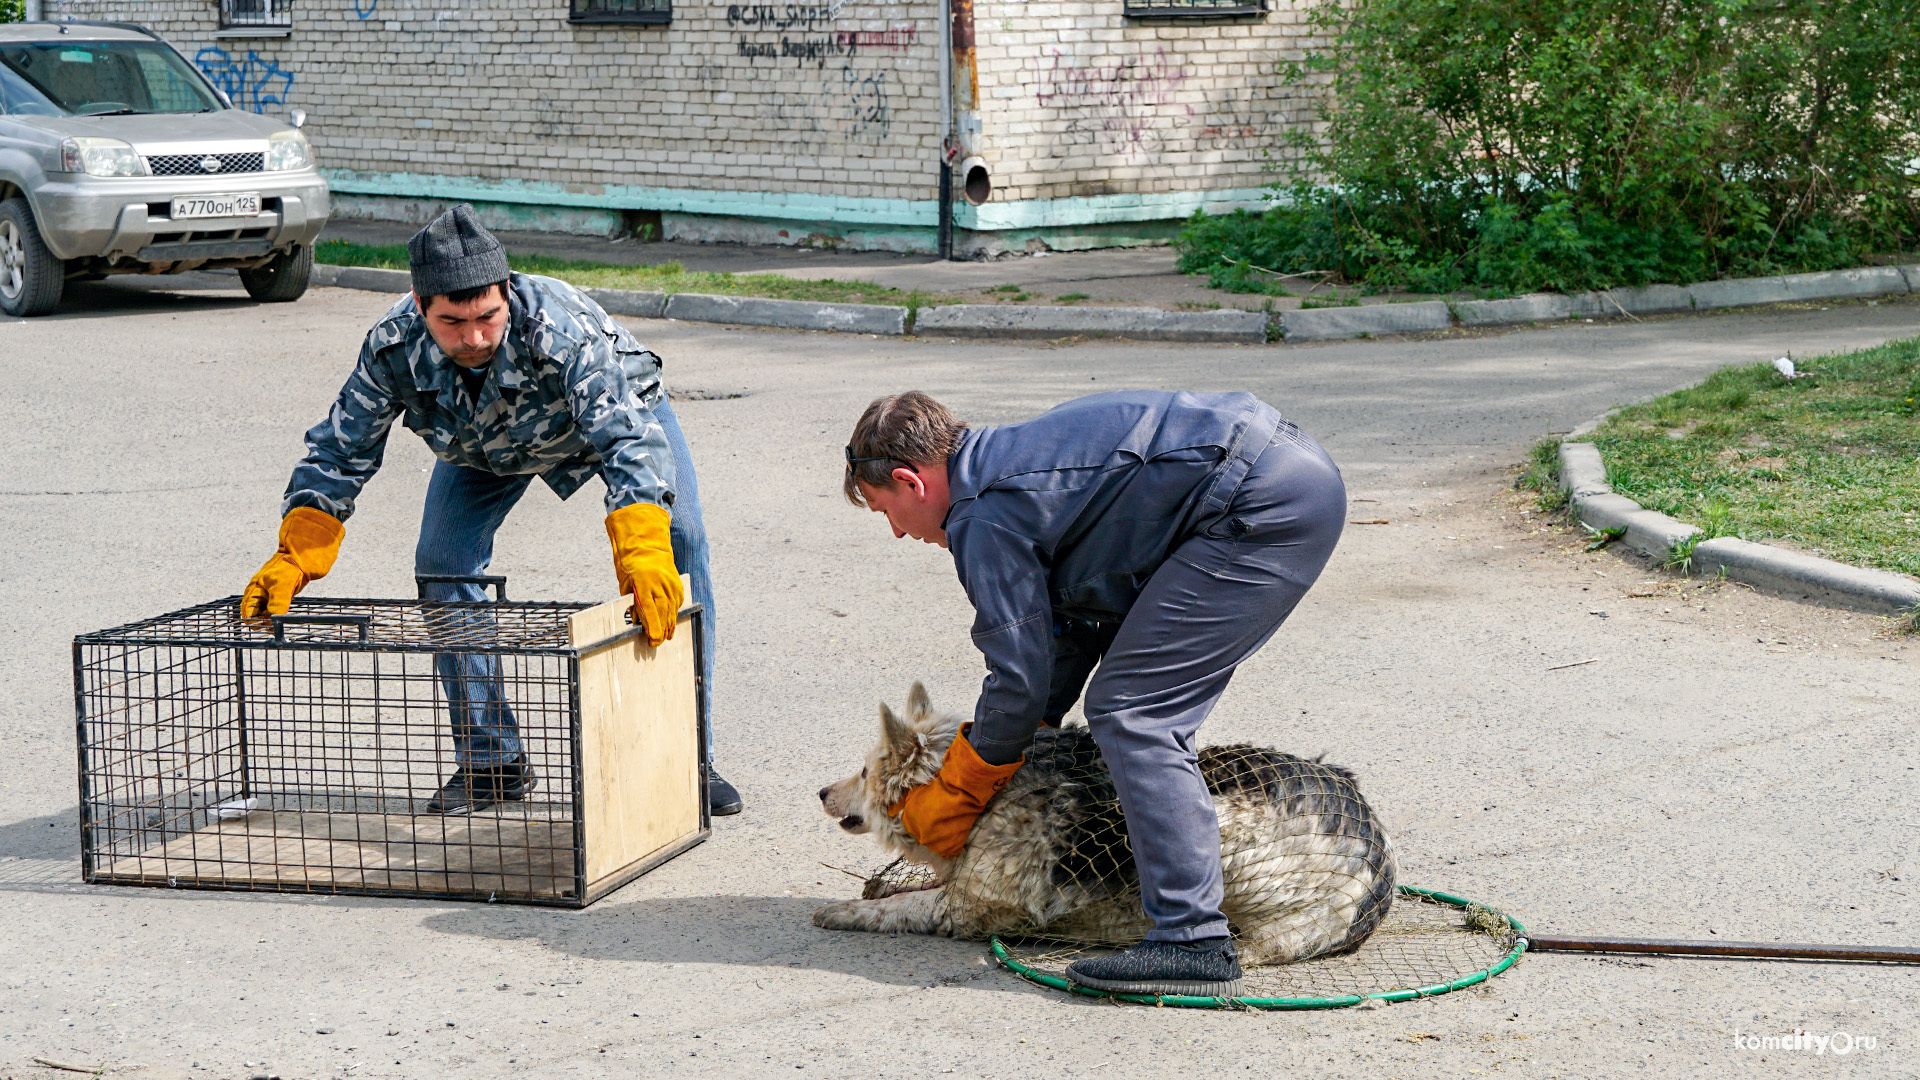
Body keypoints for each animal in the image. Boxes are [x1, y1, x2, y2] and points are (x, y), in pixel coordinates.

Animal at [810, 680, 1397, 957]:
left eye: (863, 771)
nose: (820, 792)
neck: (983, 801)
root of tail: (1380, 860)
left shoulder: (970, 906)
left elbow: (902, 907)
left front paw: (843, 911)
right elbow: (909, 890)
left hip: (1227, 832)